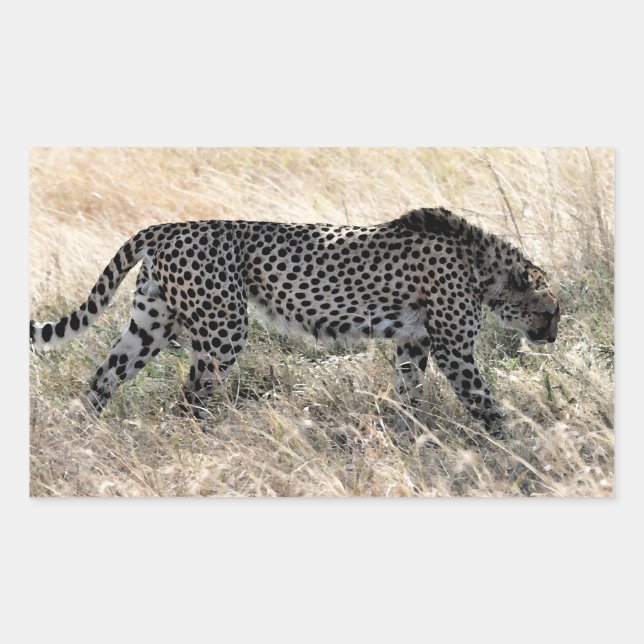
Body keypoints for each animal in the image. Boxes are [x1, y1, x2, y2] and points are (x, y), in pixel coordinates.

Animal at [30, 207, 561, 434]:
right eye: (550, 311)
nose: (553, 337)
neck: (486, 267)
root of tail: (170, 226)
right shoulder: (453, 349)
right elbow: (483, 399)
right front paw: (516, 441)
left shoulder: (414, 343)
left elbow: (409, 394)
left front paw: (407, 434)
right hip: (223, 330)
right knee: (191, 394)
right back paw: (204, 440)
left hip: (150, 324)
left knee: (101, 379)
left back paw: (81, 436)